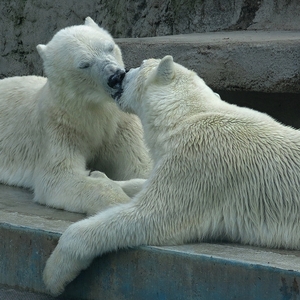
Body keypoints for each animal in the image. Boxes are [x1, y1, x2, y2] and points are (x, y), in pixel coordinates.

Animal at [0, 17, 151, 214]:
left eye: (109, 47)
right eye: (84, 64)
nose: (116, 76)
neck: (92, 112)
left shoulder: (121, 126)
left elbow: (140, 165)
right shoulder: (60, 127)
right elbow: (59, 177)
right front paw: (118, 200)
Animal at [42, 55, 300, 294]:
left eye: (140, 64)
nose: (121, 74)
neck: (184, 116)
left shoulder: (199, 163)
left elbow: (148, 215)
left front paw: (53, 274)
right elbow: (143, 185)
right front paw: (101, 177)